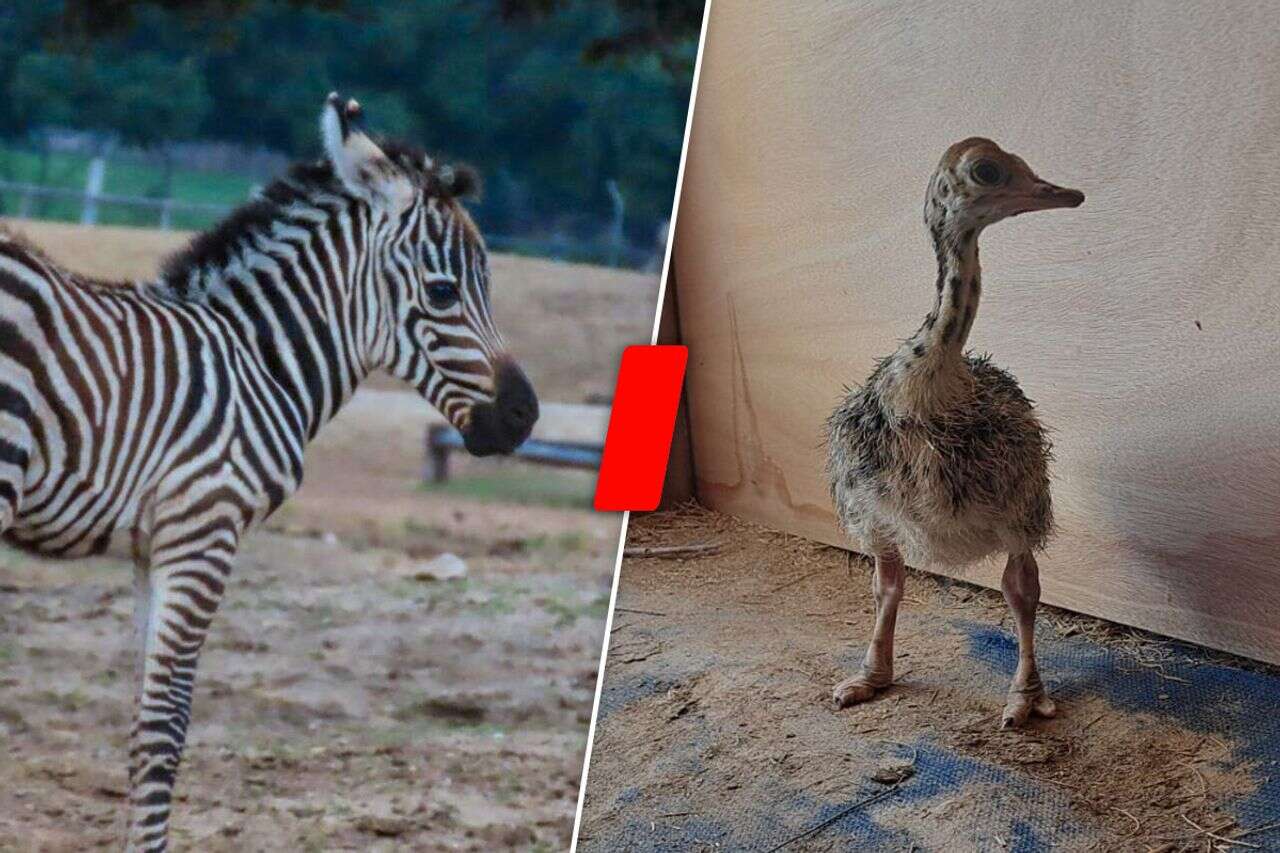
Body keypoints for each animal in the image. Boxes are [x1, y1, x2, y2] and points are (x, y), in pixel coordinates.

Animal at [0, 93, 538, 851]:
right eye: (440, 290)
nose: (524, 416)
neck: (261, 359)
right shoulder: (205, 530)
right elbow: (166, 730)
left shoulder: (151, 546)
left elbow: (138, 725)